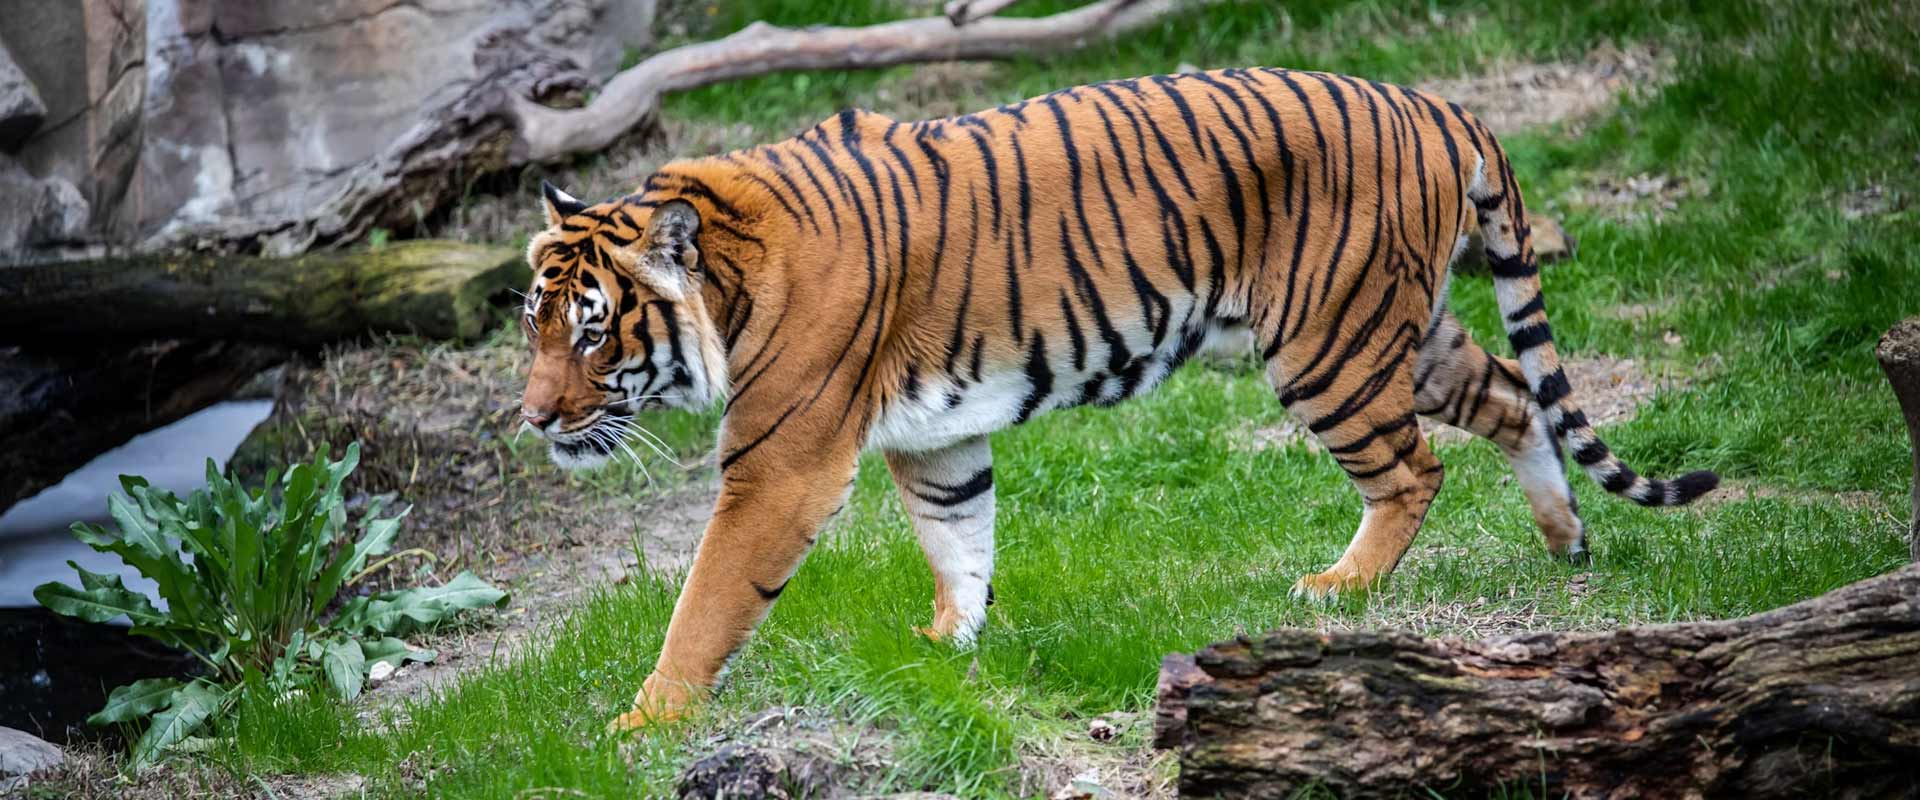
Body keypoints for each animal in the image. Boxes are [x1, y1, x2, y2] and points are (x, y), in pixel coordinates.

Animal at [515, 67, 1720, 731]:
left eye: (593, 329)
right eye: (532, 321)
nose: (531, 417)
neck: (724, 279)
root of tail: (1433, 101)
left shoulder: (782, 462)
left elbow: (707, 600)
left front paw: (642, 722)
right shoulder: (933, 440)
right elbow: (960, 539)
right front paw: (948, 645)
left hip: (1324, 344)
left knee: (1415, 466)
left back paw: (1341, 586)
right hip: (1404, 329)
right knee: (1516, 395)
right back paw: (1565, 542)